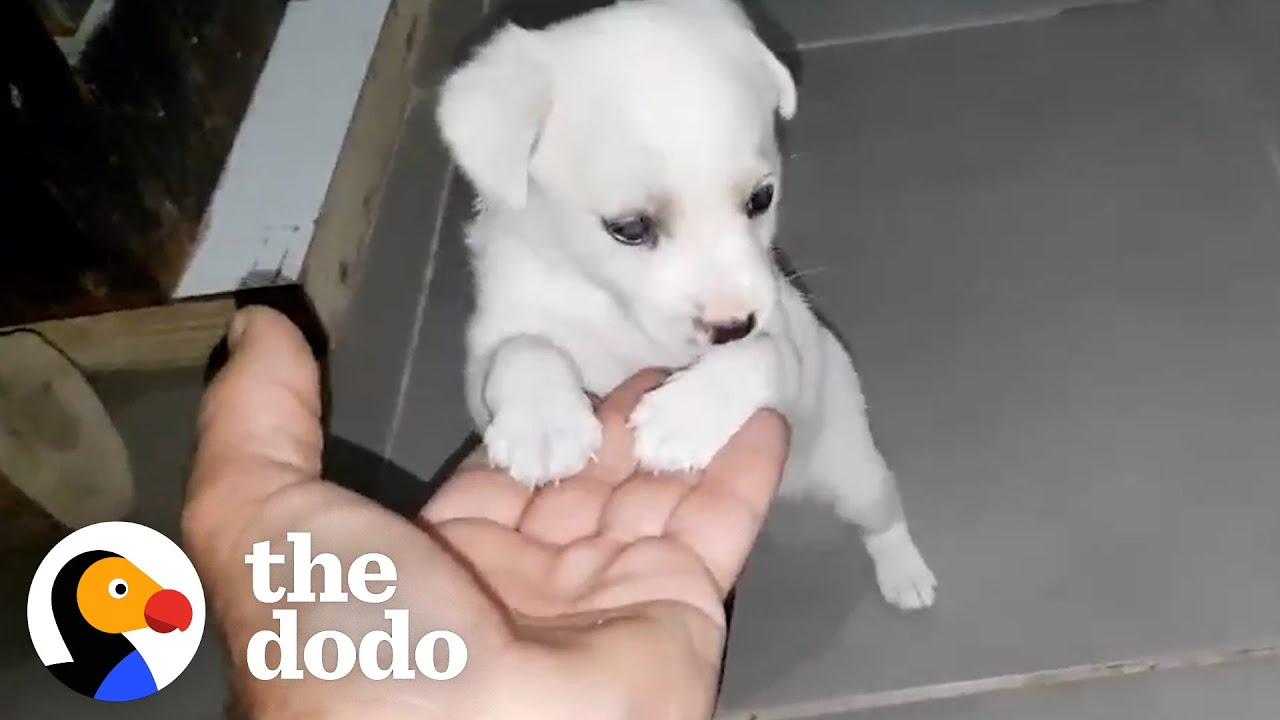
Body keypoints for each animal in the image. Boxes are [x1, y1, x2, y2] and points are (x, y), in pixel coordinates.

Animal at [435, 0, 936, 604]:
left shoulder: (786, 347)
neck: (613, 313)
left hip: (853, 469)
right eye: (629, 228)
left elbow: (763, 355)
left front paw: (683, 417)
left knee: (882, 514)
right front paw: (543, 426)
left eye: (761, 197)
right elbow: (521, 351)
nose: (733, 325)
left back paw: (906, 574)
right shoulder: (486, 358)